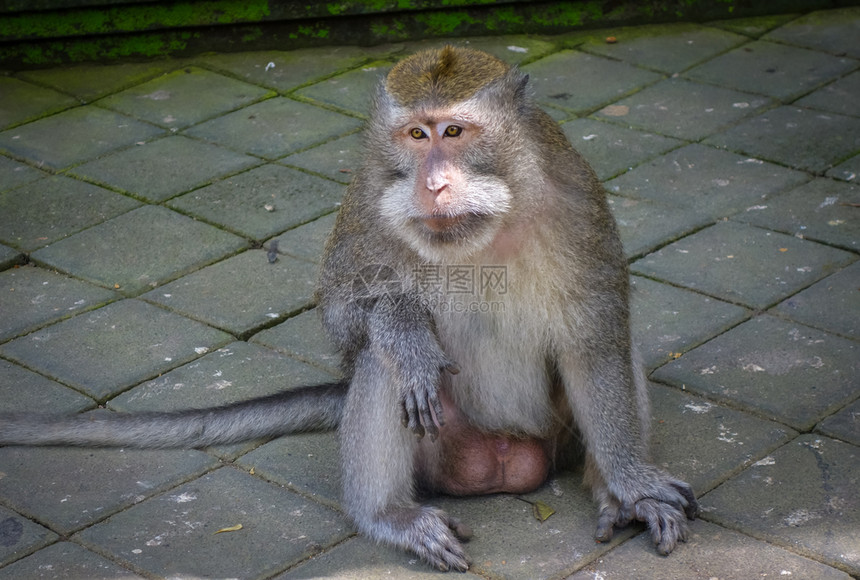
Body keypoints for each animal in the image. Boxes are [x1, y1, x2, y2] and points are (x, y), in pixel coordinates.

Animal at [0, 46, 696, 572]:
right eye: (415, 135)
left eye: (454, 132)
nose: (433, 184)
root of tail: (507, 460)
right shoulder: (365, 199)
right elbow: (344, 317)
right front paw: (404, 327)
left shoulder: (578, 197)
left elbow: (596, 334)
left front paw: (632, 482)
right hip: (443, 450)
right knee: (382, 367)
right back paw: (387, 514)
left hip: (554, 438)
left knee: (617, 345)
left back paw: (610, 491)